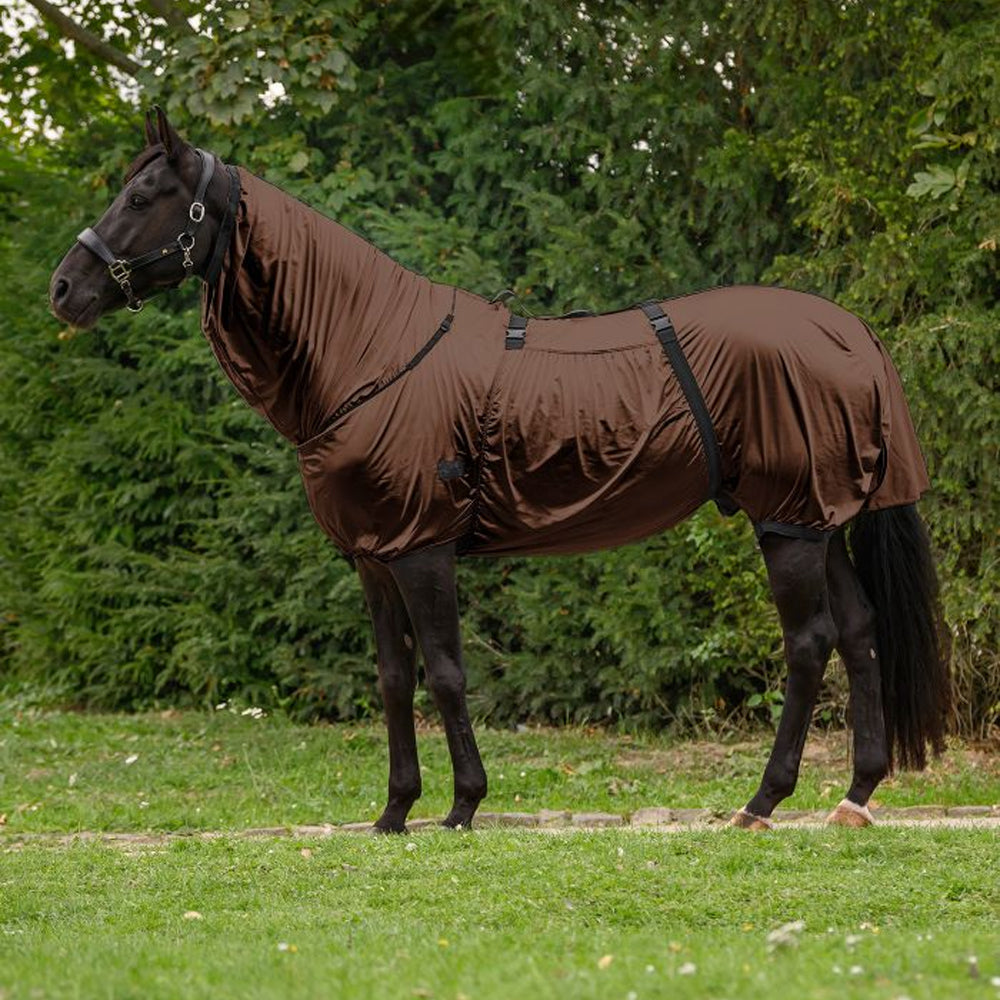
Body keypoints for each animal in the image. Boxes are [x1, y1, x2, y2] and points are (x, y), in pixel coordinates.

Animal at [50, 108, 950, 833]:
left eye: (142, 198)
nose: (64, 289)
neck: (369, 352)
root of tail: (849, 332)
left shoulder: (422, 548)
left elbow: (447, 674)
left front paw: (462, 806)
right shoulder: (374, 555)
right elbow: (393, 679)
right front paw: (394, 812)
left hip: (788, 523)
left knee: (810, 643)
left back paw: (763, 803)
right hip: (814, 517)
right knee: (860, 632)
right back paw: (855, 797)